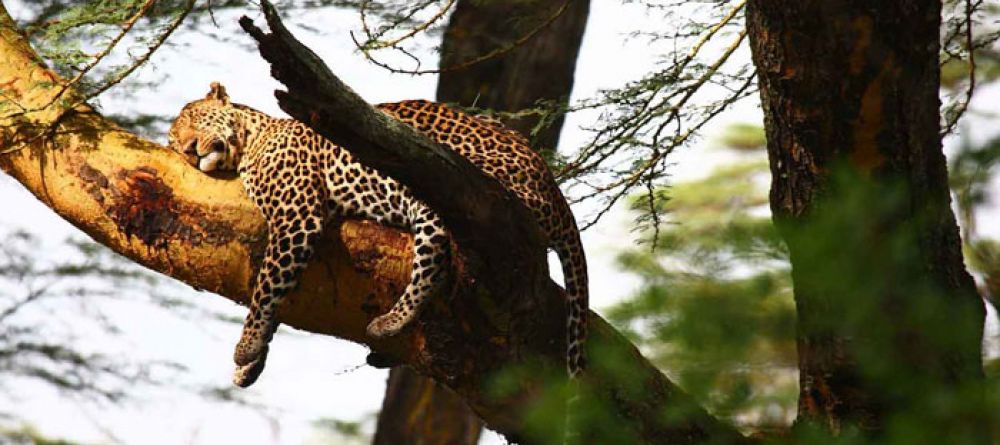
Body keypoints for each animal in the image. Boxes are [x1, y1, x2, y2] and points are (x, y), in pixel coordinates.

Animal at [167, 82, 588, 387]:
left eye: (194, 117)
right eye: (172, 141)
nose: (187, 149)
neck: (253, 140)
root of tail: (552, 188)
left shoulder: (296, 216)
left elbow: (266, 287)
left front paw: (246, 346)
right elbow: (277, 292)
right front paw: (250, 364)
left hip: (442, 187)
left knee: (435, 256)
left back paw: (390, 323)